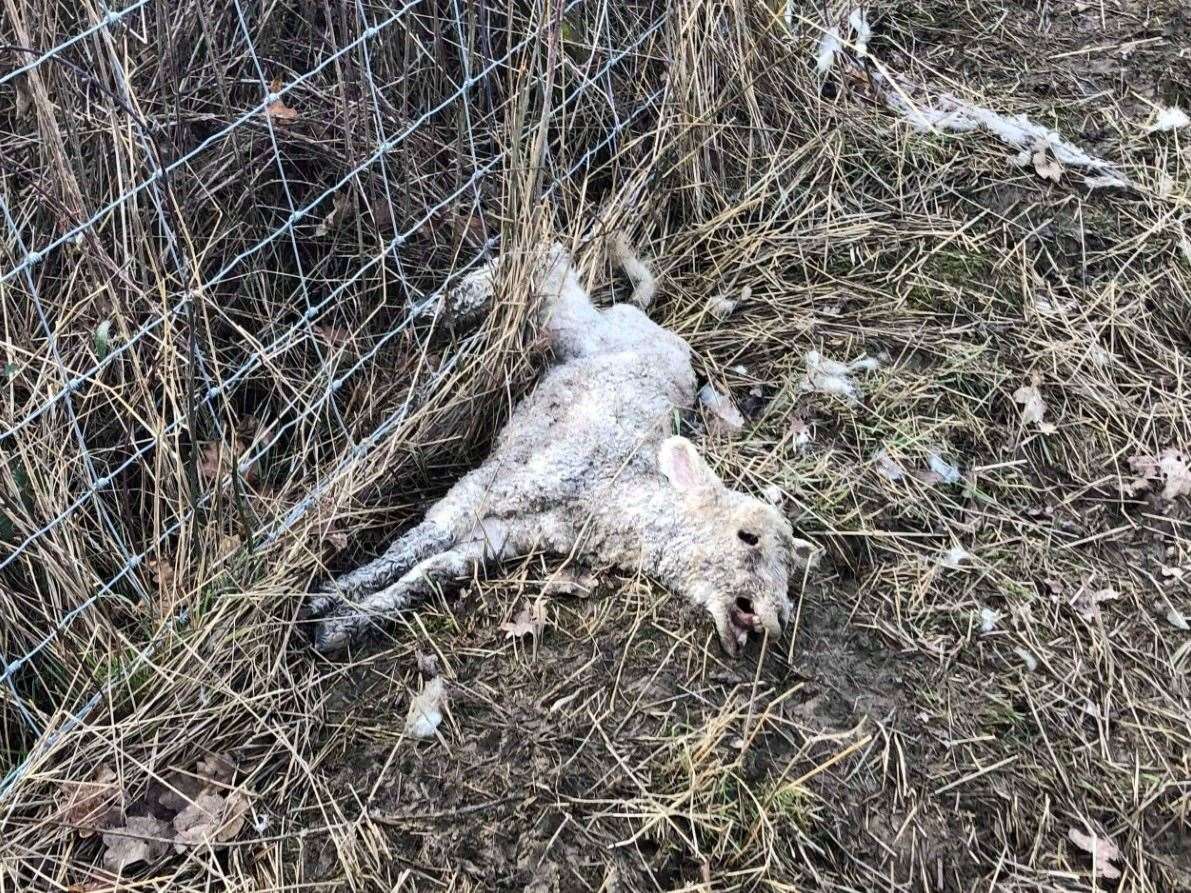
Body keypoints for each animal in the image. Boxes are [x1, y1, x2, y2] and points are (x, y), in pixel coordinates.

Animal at [309, 238, 819, 657]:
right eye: (747, 537)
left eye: (790, 571)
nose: (774, 622)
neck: (606, 492)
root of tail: (649, 323)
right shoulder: (489, 486)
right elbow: (414, 545)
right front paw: (327, 599)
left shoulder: (509, 535)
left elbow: (434, 570)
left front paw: (342, 625)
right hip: (576, 327)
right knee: (549, 264)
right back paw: (440, 308)